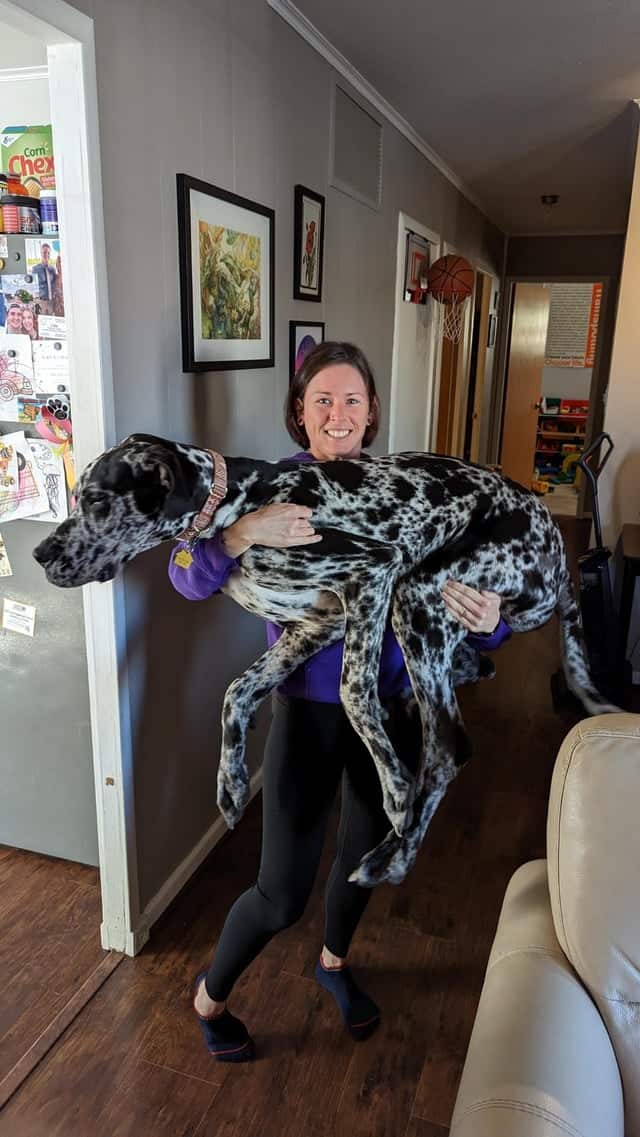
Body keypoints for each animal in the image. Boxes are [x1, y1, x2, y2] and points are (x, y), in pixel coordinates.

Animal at [33, 434, 613, 886]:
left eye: (96, 500)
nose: (40, 554)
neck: (238, 503)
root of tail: (560, 552)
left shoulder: (373, 572)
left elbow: (352, 693)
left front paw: (395, 790)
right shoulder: (316, 625)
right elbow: (235, 693)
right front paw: (231, 782)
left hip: (417, 593)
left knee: (448, 746)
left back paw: (390, 855)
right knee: (472, 675)